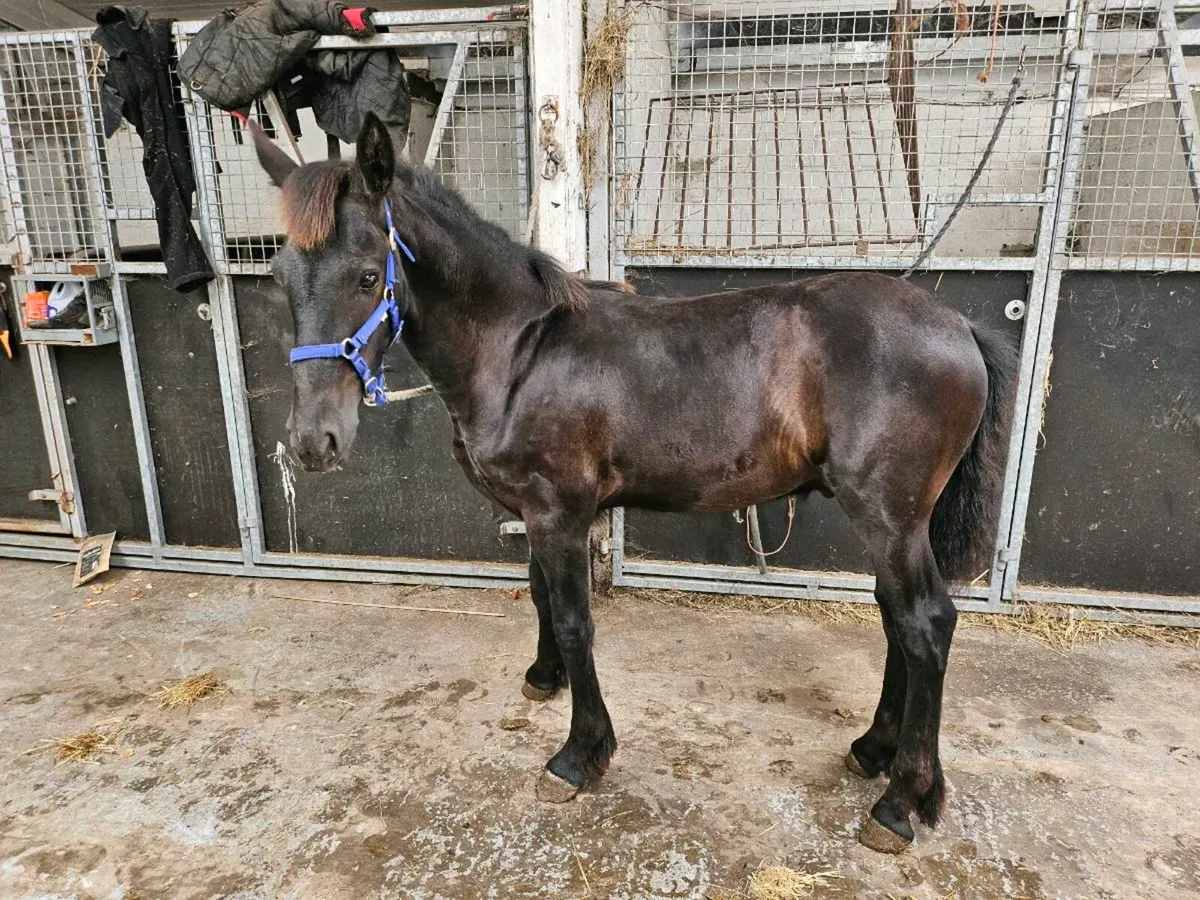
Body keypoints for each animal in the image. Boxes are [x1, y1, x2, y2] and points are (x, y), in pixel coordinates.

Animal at [252, 113, 1017, 853]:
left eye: (364, 276)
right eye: (280, 277)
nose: (312, 441)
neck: (519, 351)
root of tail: (959, 325)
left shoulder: (559, 511)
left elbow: (573, 619)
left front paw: (578, 755)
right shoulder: (537, 513)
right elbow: (540, 596)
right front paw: (544, 678)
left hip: (888, 516)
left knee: (926, 625)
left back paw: (902, 800)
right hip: (895, 522)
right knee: (896, 620)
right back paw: (873, 752)